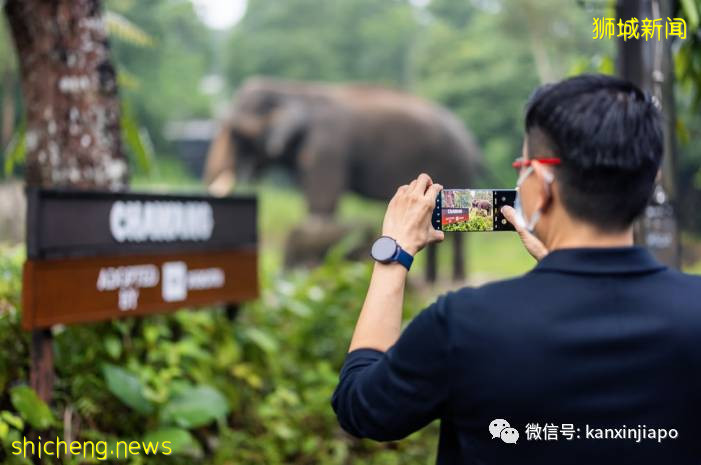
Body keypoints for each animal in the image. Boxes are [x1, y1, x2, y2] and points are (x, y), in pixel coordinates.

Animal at [204, 77, 484, 281]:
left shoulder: (328, 145)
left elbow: (323, 197)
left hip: (454, 165)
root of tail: (471, 141)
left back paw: (453, 280)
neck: (293, 89)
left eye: (237, 135)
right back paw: (431, 281)